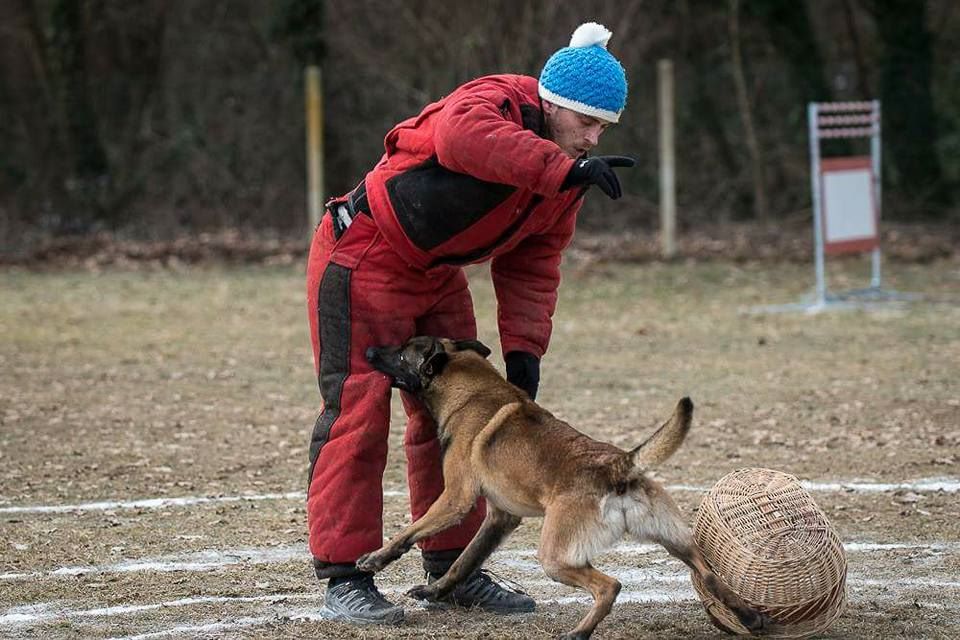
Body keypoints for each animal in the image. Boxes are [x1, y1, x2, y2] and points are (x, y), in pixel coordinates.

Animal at [356, 338, 768, 636]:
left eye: (401, 351)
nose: (370, 350)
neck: (472, 390)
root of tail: (618, 465)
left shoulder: (455, 499)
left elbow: (410, 532)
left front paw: (374, 559)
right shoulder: (500, 518)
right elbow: (464, 561)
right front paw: (433, 591)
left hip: (554, 557)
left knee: (609, 586)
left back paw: (578, 633)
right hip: (674, 540)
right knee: (710, 575)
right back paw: (750, 618)